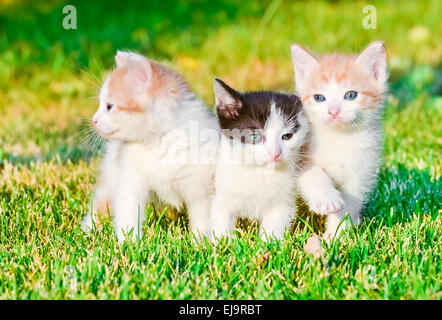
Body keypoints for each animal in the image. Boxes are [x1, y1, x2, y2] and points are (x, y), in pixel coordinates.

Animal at [81, 52, 219, 242]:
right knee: (100, 203)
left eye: (109, 106)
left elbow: (202, 220)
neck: (157, 141)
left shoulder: (201, 189)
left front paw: (200, 243)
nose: (93, 120)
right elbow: (128, 215)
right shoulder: (130, 181)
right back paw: (88, 229)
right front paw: (129, 244)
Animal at [209, 79, 310, 240]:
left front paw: (269, 244)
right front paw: (221, 243)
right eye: (255, 137)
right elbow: (220, 223)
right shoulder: (221, 195)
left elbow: (274, 227)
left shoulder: (282, 203)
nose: (275, 153)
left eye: (287, 136)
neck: (259, 172)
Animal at [292, 41, 388, 240]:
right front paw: (326, 198)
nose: (333, 111)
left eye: (351, 95)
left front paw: (336, 236)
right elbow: (314, 173)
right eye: (319, 97)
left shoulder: (360, 173)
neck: (338, 138)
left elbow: (349, 204)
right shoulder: (299, 157)